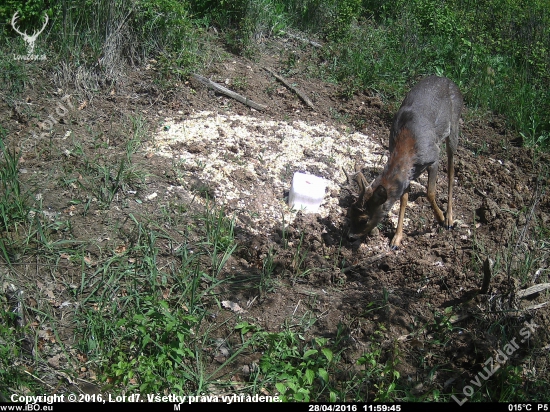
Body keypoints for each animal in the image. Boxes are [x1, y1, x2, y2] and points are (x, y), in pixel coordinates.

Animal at [348, 75, 464, 249]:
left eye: (364, 219)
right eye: (351, 211)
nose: (349, 237)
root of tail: (450, 80)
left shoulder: (434, 156)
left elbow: (430, 192)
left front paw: (440, 218)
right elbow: (404, 199)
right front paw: (396, 239)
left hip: (454, 125)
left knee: (451, 170)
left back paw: (449, 219)